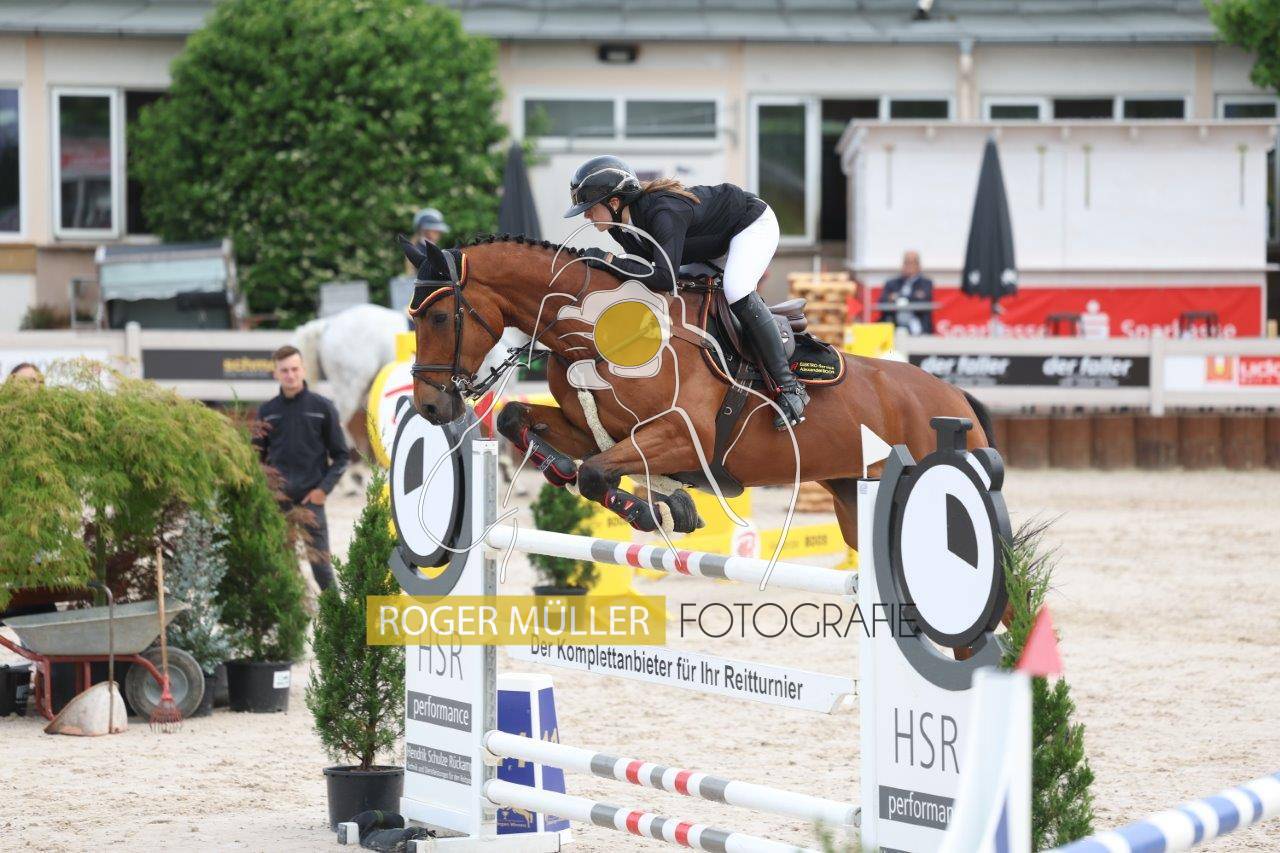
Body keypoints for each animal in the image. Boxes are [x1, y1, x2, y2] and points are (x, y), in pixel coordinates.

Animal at [400, 234, 993, 550]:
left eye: (437, 316)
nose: (430, 405)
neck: (599, 333)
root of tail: (957, 400)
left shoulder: (684, 438)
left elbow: (596, 472)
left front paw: (657, 511)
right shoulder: (598, 429)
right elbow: (519, 423)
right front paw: (646, 498)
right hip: (852, 501)